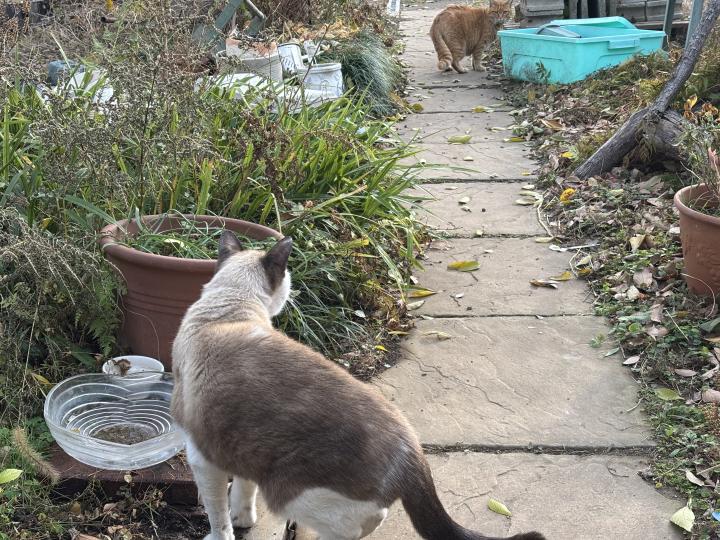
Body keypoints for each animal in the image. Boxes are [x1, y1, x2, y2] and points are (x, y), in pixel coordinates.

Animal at [171, 231, 546, 540]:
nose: (295, 293)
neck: (227, 310)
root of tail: (414, 451)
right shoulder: (238, 447)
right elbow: (241, 495)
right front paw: (244, 520)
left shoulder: (201, 458)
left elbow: (218, 519)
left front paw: (222, 532)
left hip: (292, 495)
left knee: (359, 524)